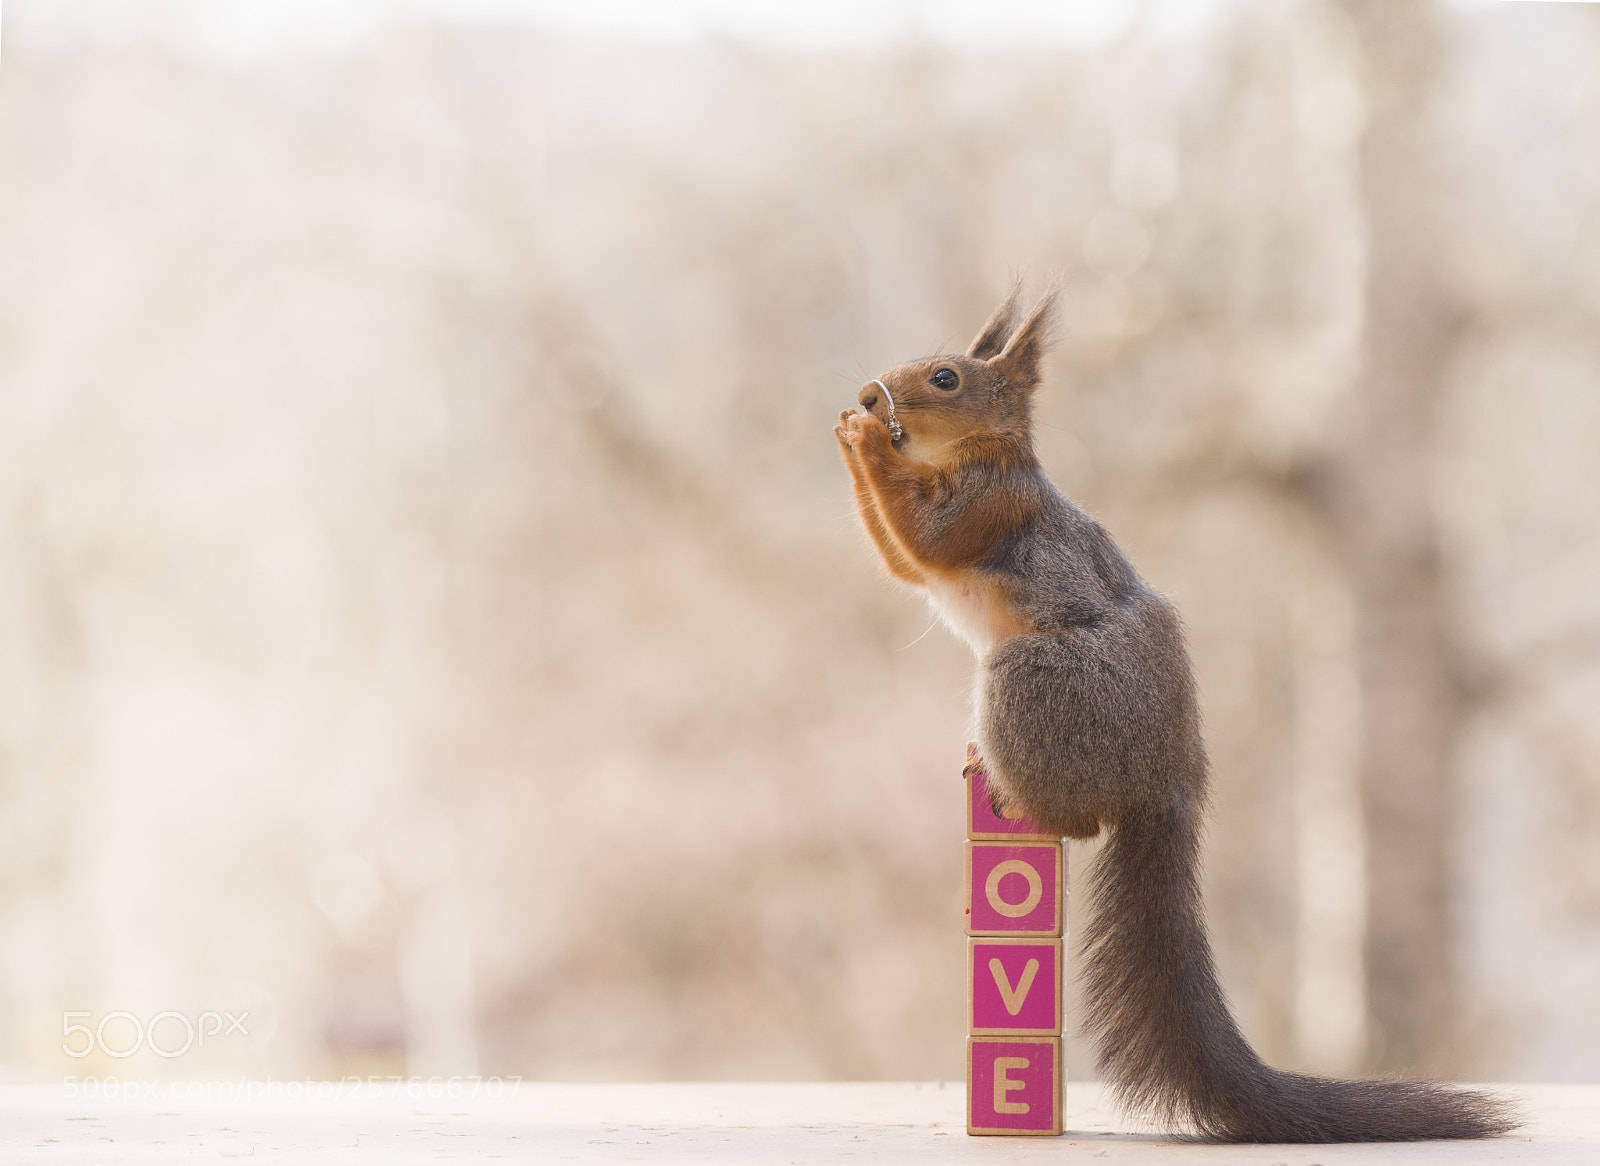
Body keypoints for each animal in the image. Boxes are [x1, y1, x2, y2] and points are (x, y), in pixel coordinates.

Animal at [833, 283, 1517, 1143]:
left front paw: (864, 440)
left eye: (946, 378)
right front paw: (849, 431)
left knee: (1079, 821)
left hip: (1032, 682)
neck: (972, 453)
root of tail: (1170, 770)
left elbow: (925, 540)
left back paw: (1010, 786)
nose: (868, 395)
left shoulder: (993, 505)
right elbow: (901, 560)